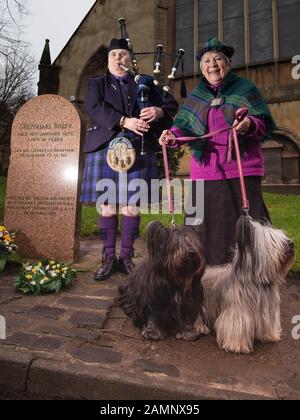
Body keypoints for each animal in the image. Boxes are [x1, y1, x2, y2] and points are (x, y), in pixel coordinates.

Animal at [200, 217, 294, 354]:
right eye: (272, 240)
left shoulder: (267, 311)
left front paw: (269, 335)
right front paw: (237, 345)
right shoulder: (238, 313)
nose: (291, 244)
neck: (259, 284)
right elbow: (236, 327)